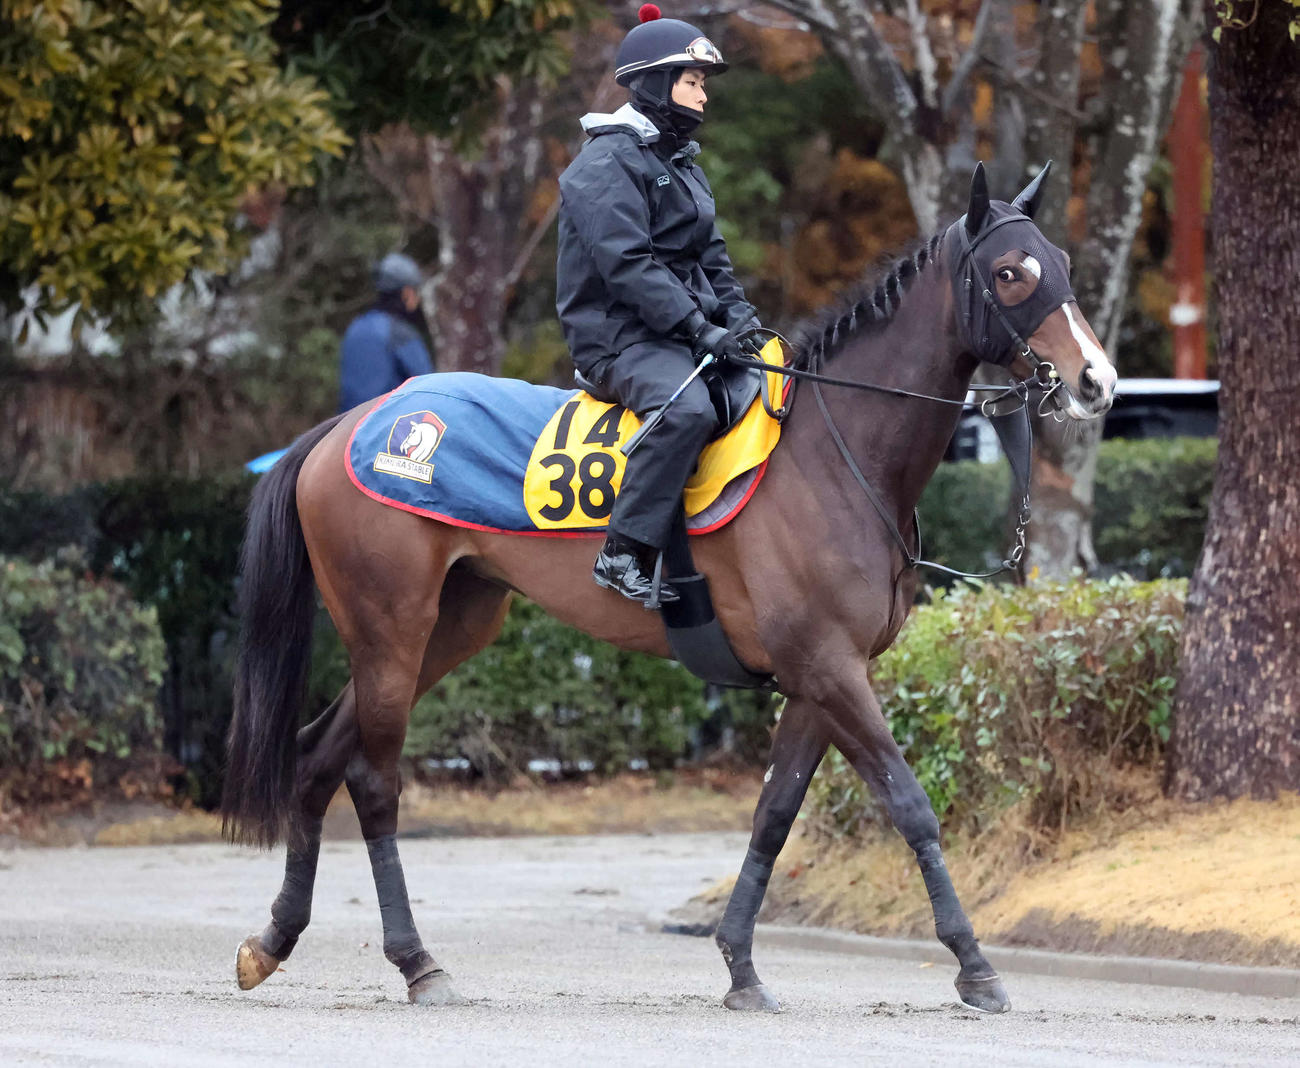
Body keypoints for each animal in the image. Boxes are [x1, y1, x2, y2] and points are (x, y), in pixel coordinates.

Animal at [222, 162, 1116, 1014]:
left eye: (1065, 265)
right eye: (1009, 272)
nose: (1097, 381)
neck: (831, 455)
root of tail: (356, 423)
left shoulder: (818, 680)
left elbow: (773, 816)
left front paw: (741, 965)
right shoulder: (832, 671)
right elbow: (910, 804)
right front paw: (975, 966)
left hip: (449, 629)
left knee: (317, 756)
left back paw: (274, 939)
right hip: (392, 630)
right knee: (372, 781)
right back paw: (417, 963)